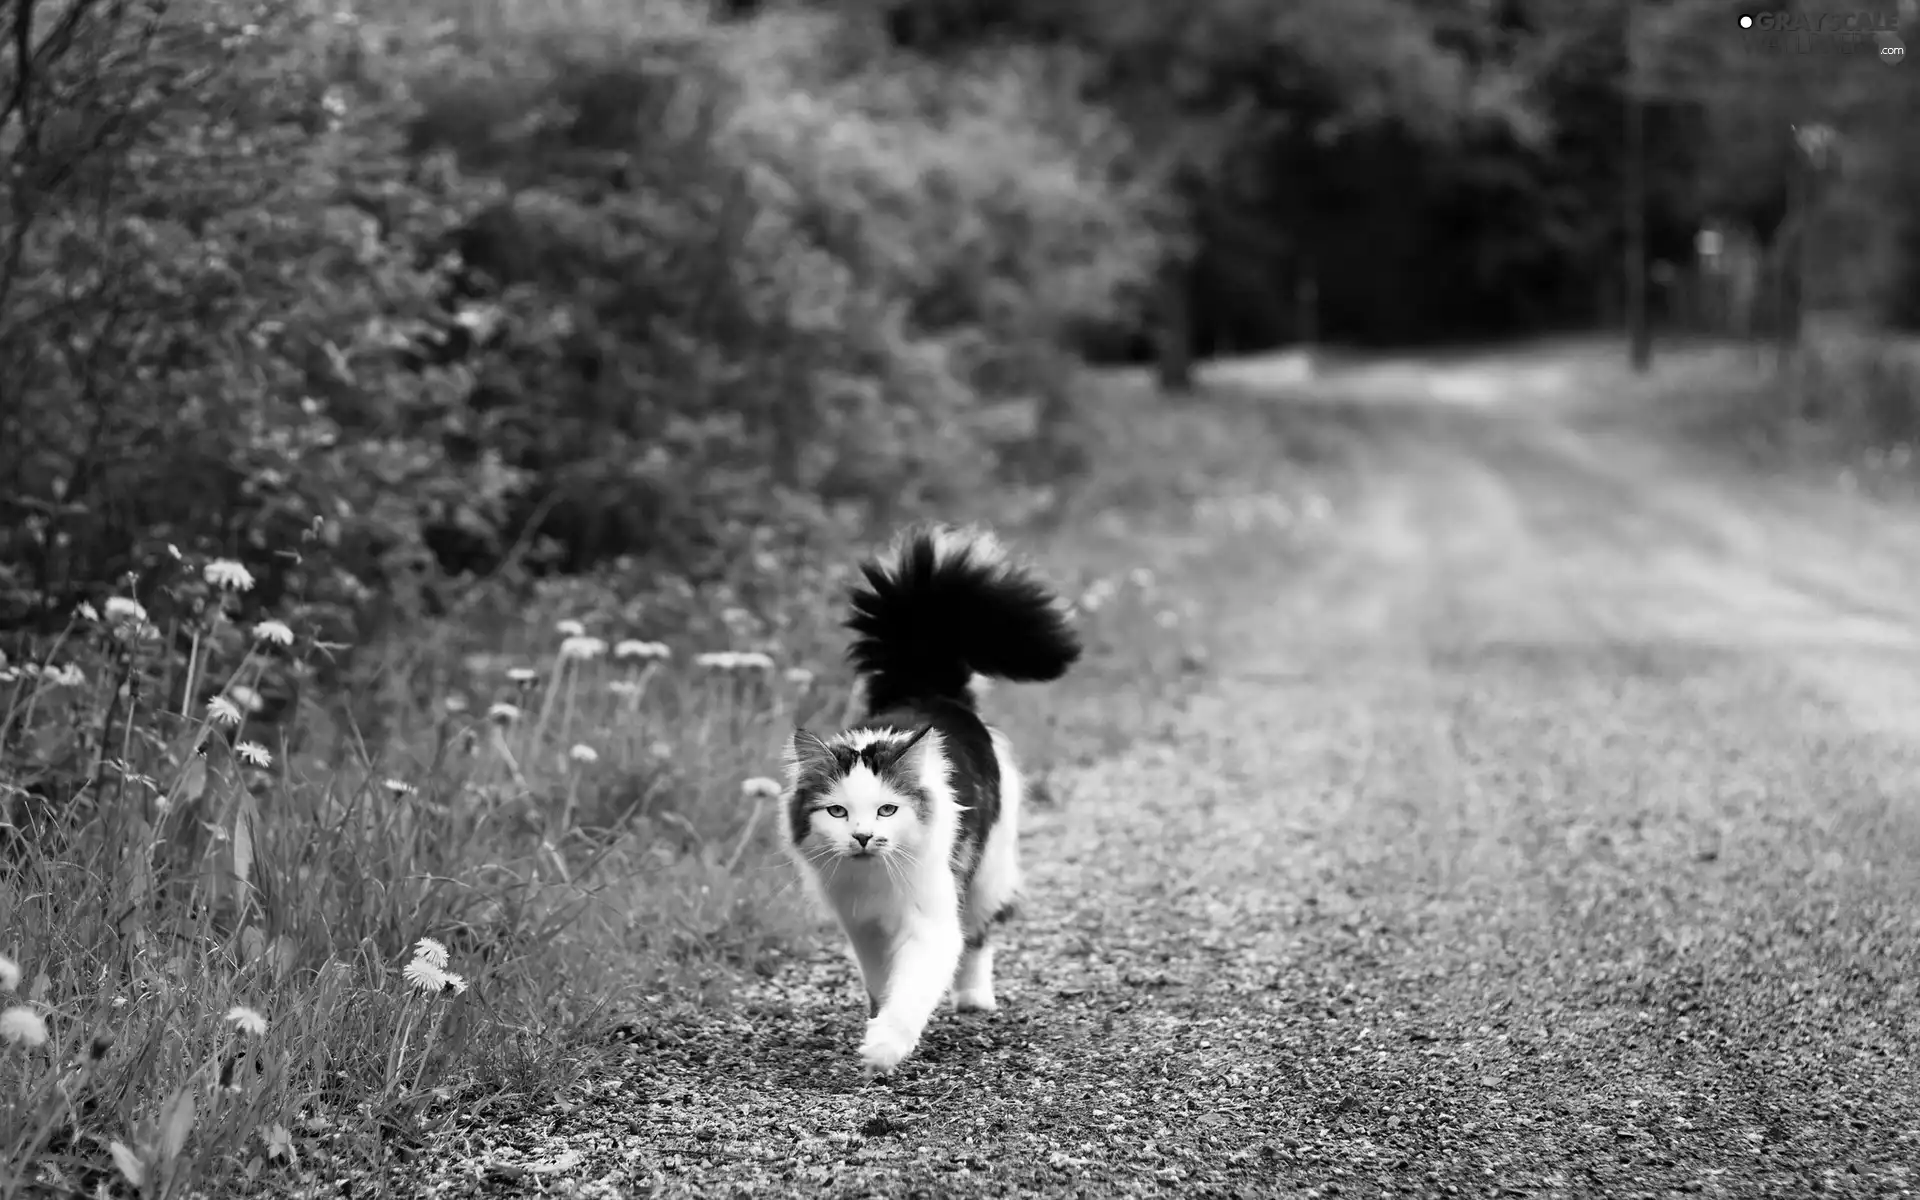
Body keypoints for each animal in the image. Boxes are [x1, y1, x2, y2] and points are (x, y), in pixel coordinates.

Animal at [779, 522, 1082, 1075]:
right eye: (838, 811)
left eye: (887, 809)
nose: (863, 837)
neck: (874, 880)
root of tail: (926, 683)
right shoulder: (862, 926)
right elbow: (882, 983)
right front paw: (877, 1025)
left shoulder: (931, 920)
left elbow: (914, 986)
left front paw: (883, 1048)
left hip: (987, 871)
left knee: (980, 934)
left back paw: (975, 1000)